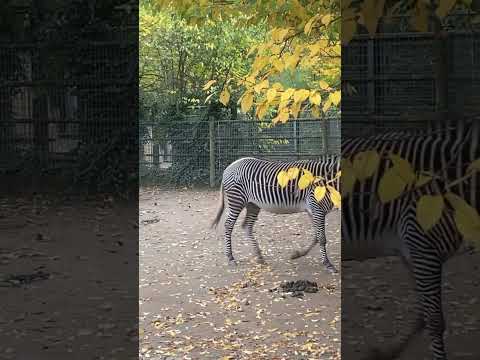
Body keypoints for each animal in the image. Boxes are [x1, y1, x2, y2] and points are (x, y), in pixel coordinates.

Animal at [211, 155, 342, 272]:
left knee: (247, 226)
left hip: (253, 205)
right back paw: (230, 257)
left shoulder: (313, 211)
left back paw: (259, 256)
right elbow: (322, 238)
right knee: (228, 225)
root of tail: (230, 166)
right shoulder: (317, 208)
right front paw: (328, 264)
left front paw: (298, 254)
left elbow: (316, 236)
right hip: (237, 200)